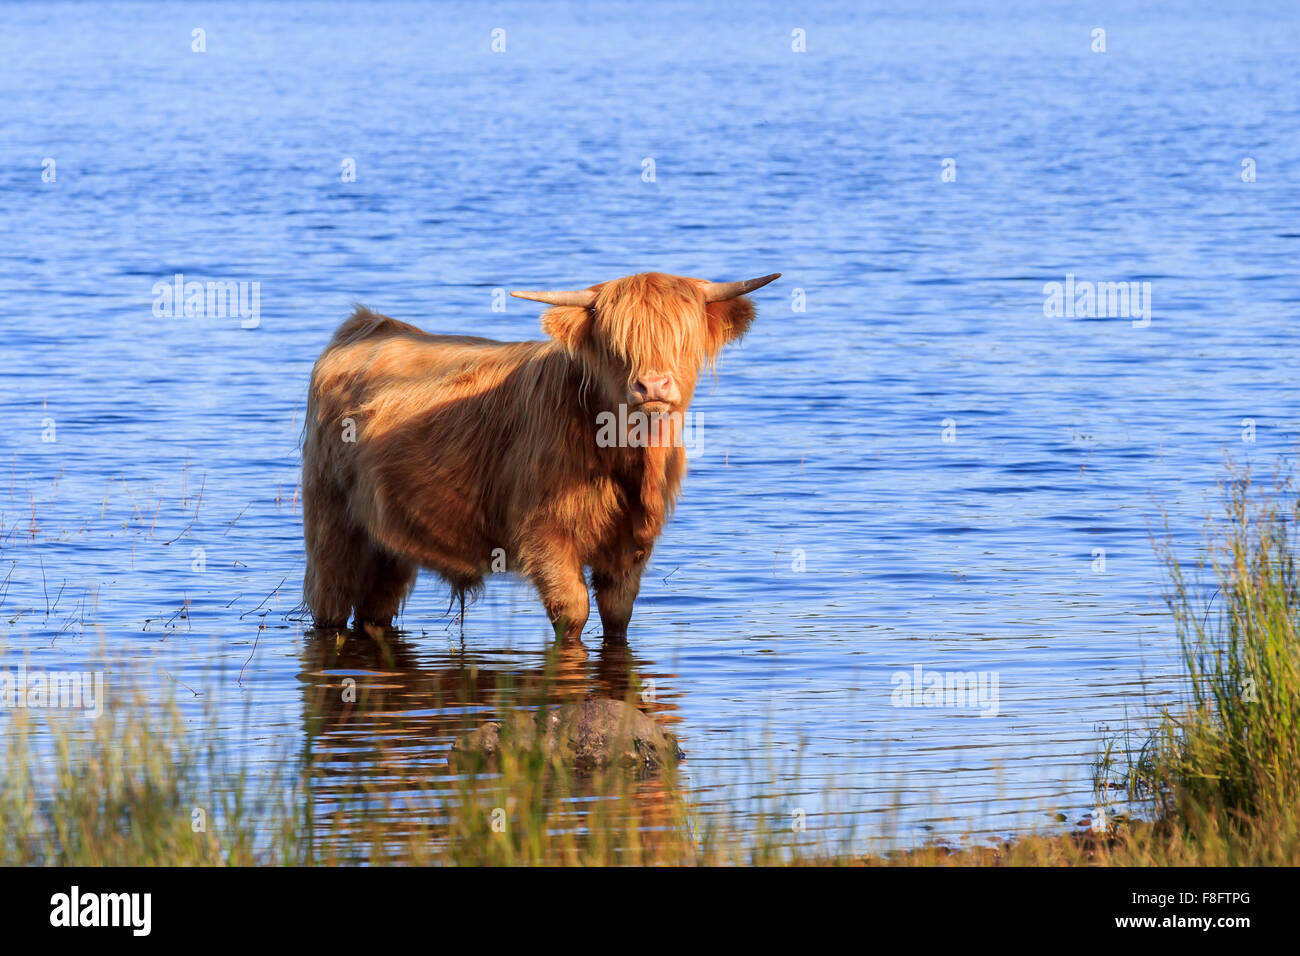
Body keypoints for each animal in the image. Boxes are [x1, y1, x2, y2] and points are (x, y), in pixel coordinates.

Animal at [301, 270, 780, 643]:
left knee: (374, 609)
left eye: (683, 339)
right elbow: (573, 611)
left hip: (386, 542)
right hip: (331, 523)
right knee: (330, 602)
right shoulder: (545, 533)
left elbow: (618, 615)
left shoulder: (631, 544)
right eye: (615, 344)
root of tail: (367, 323)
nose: (653, 386)